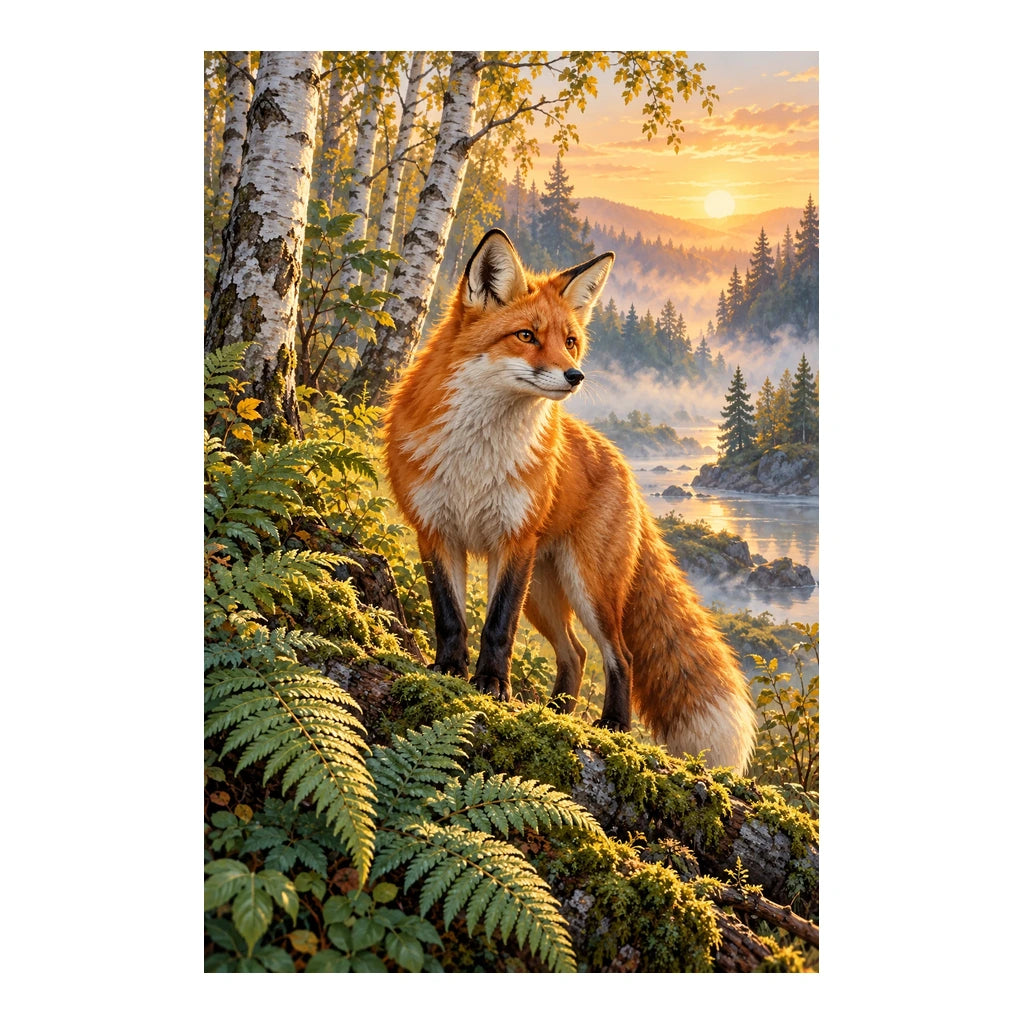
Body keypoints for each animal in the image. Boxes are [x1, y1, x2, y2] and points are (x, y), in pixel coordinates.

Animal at [383, 229, 756, 772]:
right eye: (526, 336)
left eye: (571, 341)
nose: (575, 376)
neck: (477, 457)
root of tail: (621, 461)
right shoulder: (435, 532)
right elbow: (451, 619)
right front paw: (448, 673)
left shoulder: (513, 541)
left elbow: (497, 628)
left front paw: (492, 686)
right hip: (544, 595)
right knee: (575, 654)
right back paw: (557, 712)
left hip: (588, 587)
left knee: (618, 655)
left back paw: (613, 726)